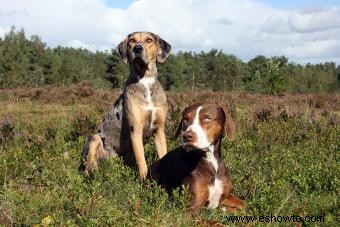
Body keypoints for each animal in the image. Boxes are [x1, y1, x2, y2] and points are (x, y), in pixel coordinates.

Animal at [80, 31, 171, 179]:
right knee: (89, 166)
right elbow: (142, 163)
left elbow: (163, 155)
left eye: (149, 40)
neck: (145, 80)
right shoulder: (136, 131)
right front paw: (144, 181)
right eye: (132, 41)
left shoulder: (159, 130)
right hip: (94, 138)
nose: (138, 48)